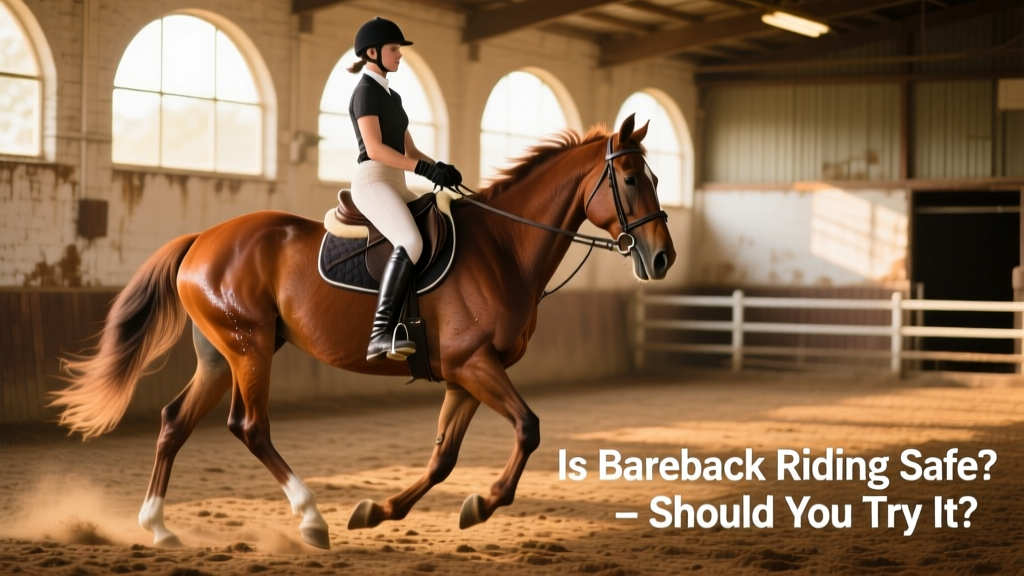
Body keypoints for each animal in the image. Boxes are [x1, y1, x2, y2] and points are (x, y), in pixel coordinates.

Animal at [49, 114, 676, 549]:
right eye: (627, 178)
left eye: (655, 175)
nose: (663, 257)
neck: (503, 248)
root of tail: (202, 238)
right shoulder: (474, 364)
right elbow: (529, 428)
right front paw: (483, 501)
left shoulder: (466, 374)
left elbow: (444, 457)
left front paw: (381, 511)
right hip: (250, 349)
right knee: (249, 426)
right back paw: (310, 519)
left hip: (219, 354)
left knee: (175, 422)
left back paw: (158, 528)